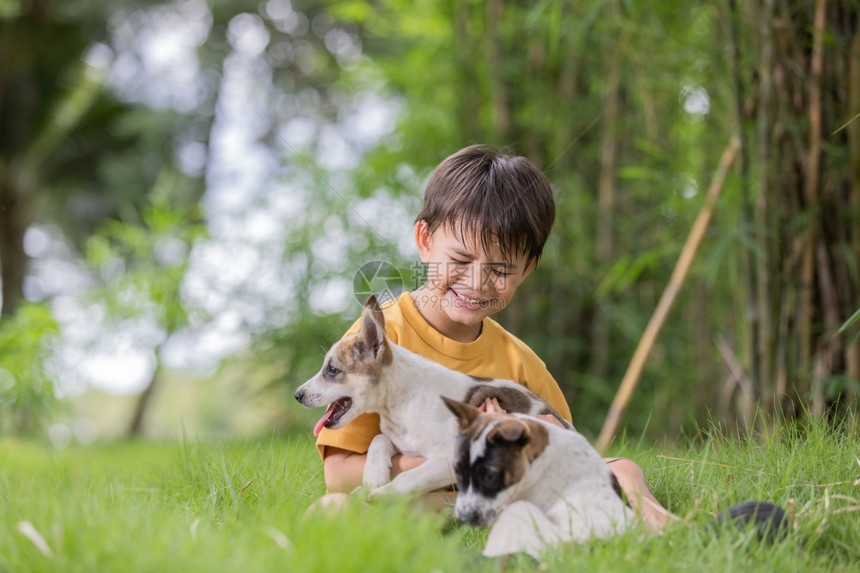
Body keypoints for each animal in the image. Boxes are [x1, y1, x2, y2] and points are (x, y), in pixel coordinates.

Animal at [296, 294, 572, 496]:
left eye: (332, 370)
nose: (297, 395)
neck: (401, 404)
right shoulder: (402, 442)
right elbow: (379, 439)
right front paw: (374, 475)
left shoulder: (450, 459)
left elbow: (408, 478)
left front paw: (377, 494)